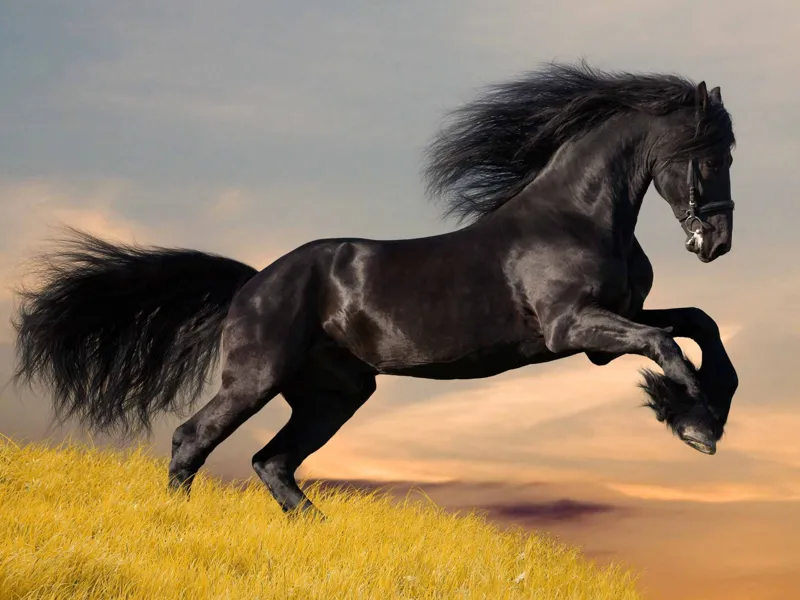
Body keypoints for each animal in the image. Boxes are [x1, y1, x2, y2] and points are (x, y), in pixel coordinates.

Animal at [12, 62, 738, 519]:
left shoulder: (608, 327)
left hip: (335, 394)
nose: (718, 242)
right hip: (256, 379)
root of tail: (253, 282)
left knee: (273, 462)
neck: (576, 215)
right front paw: (693, 424)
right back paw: (180, 523)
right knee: (193, 440)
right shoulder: (574, 328)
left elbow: (698, 324)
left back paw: (318, 534)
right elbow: (666, 343)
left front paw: (706, 409)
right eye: (710, 152)